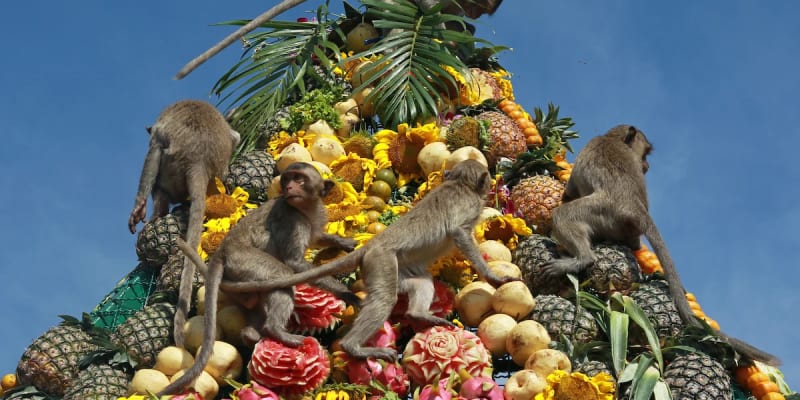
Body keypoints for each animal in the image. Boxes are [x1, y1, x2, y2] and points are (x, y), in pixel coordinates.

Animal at [128, 99, 240, 349]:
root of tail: (199, 161)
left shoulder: (158, 134)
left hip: (171, 172)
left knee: (157, 170)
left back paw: (157, 212)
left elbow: (154, 151)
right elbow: (236, 136)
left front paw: (139, 208)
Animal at [158, 162, 358, 396]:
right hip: (245, 261)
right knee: (281, 273)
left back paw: (251, 333)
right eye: (287, 179)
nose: (289, 188)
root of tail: (221, 253)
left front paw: (342, 242)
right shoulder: (292, 219)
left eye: (299, 179)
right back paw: (275, 330)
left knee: (256, 299)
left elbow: (317, 237)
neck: (305, 208)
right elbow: (295, 263)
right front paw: (347, 293)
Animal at [220, 159, 516, 361]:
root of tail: (371, 246)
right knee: (384, 299)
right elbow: (460, 234)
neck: (460, 183)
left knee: (419, 283)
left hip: (392, 268)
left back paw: (418, 314)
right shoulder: (468, 207)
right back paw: (354, 347)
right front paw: (492, 276)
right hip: (380, 262)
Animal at [540, 125, 780, 366]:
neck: (611, 138)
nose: (646, 165)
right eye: (645, 154)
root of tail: (634, 207)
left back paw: (581, 259)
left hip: (600, 212)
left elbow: (570, 190)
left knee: (564, 215)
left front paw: (565, 194)